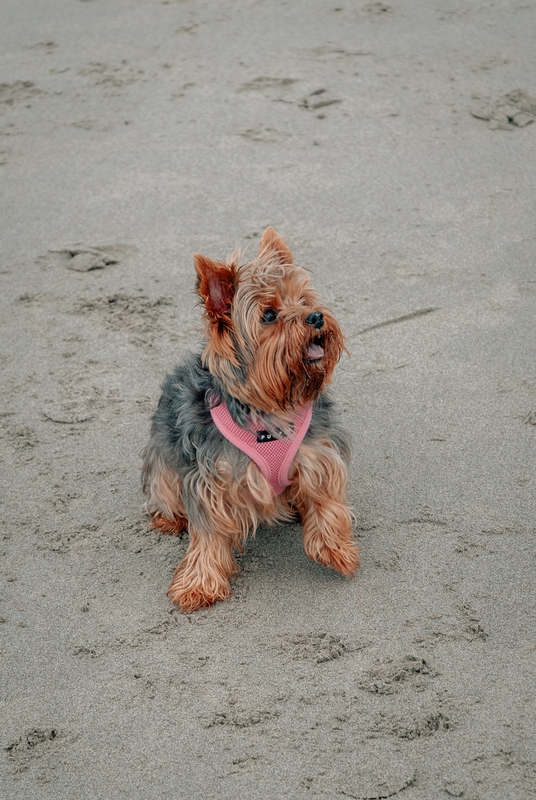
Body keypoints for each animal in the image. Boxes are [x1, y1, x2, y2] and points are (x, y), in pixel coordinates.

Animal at [142, 228, 360, 608]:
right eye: (269, 316)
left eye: (303, 300)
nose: (316, 317)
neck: (270, 409)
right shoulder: (210, 476)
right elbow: (208, 532)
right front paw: (198, 584)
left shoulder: (317, 452)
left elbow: (326, 500)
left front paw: (336, 550)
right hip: (163, 460)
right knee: (165, 491)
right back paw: (171, 519)